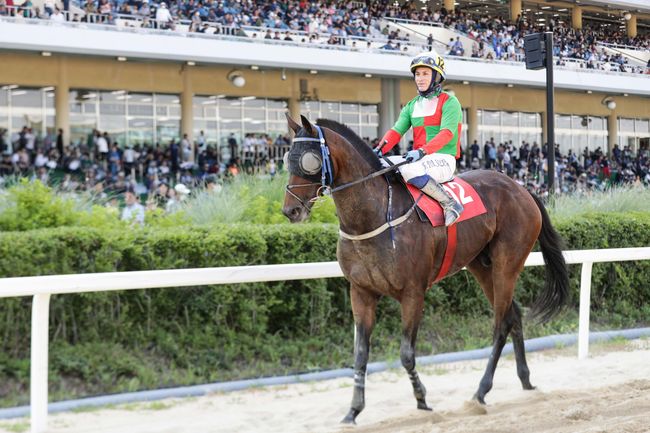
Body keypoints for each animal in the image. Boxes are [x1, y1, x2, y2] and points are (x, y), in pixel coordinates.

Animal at [280, 114, 564, 422]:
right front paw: (353, 410)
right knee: (514, 315)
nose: (290, 211)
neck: (372, 217)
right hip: (481, 266)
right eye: (287, 158)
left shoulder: (413, 292)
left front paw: (422, 399)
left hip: (507, 264)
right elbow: (360, 354)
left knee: (501, 324)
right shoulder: (361, 292)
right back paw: (525, 380)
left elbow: (406, 353)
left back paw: (481, 391)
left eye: (308, 160)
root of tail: (522, 188)